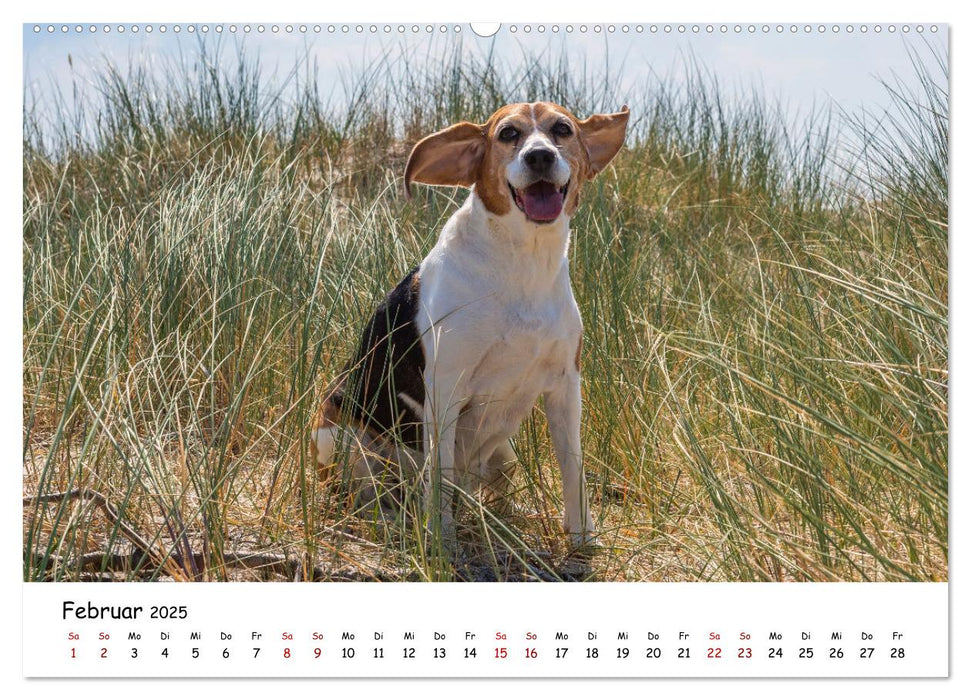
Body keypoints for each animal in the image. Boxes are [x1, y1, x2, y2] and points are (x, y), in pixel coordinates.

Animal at [312, 102, 632, 552]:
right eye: (508, 133)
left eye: (563, 129)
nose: (539, 157)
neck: (522, 261)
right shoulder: (446, 387)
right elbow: (439, 474)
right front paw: (441, 539)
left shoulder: (566, 386)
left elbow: (573, 468)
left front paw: (582, 536)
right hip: (340, 437)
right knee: (372, 494)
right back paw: (394, 520)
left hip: (503, 454)